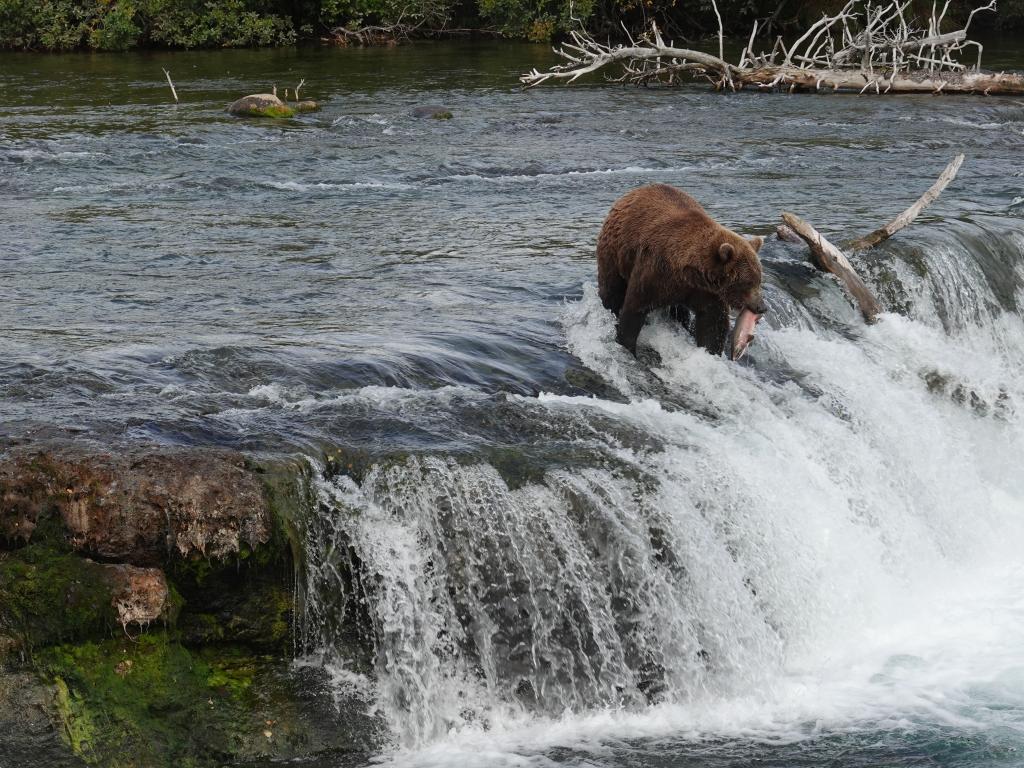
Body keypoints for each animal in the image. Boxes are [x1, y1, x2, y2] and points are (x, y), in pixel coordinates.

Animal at [598, 183, 765, 358]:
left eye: (759, 280)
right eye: (747, 282)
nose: (762, 307)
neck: (688, 272)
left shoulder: (707, 292)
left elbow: (713, 323)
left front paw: (709, 351)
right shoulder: (654, 272)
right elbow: (634, 309)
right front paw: (627, 347)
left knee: (680, 312)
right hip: (614, 254)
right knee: (611, 291)